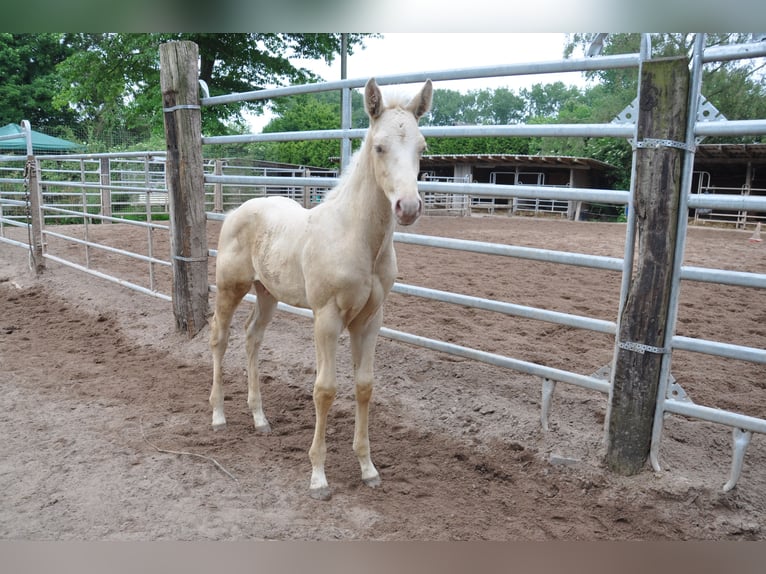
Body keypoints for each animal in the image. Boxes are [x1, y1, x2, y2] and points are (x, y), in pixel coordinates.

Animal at [209, 77, 433, 500]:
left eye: (421, 147)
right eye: (379, 147)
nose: (408, 208)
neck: (357, 238)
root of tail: (235, 211)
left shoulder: (370, 319)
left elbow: (364, 386)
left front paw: (368, 469)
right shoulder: (326, 317)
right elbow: (324, 389)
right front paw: (318, 476)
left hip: (267, 293)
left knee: (252, 337)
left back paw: (260, 418)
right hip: (231, 287)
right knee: (220, 338)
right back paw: (217, 414)